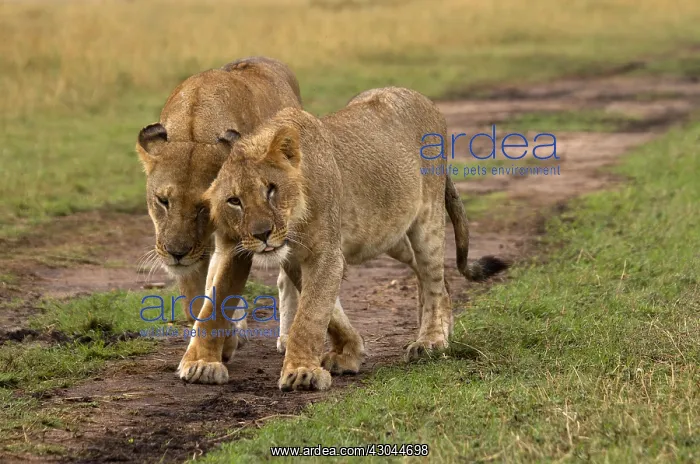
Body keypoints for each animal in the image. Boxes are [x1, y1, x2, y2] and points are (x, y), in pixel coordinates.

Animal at [185, 86, 508, 390]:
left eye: (271, 190)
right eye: (234, 201)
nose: (262, 234)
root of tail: (422, 98)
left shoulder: (325, 254)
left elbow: (311, 315)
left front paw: (302, 372)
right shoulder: (242, 249)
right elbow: (215, 304)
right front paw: (201, 364)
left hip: (426, 219)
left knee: (433, 279)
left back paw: (431, 340)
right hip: (388, 233)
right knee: (435, 279)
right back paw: (443, 328)